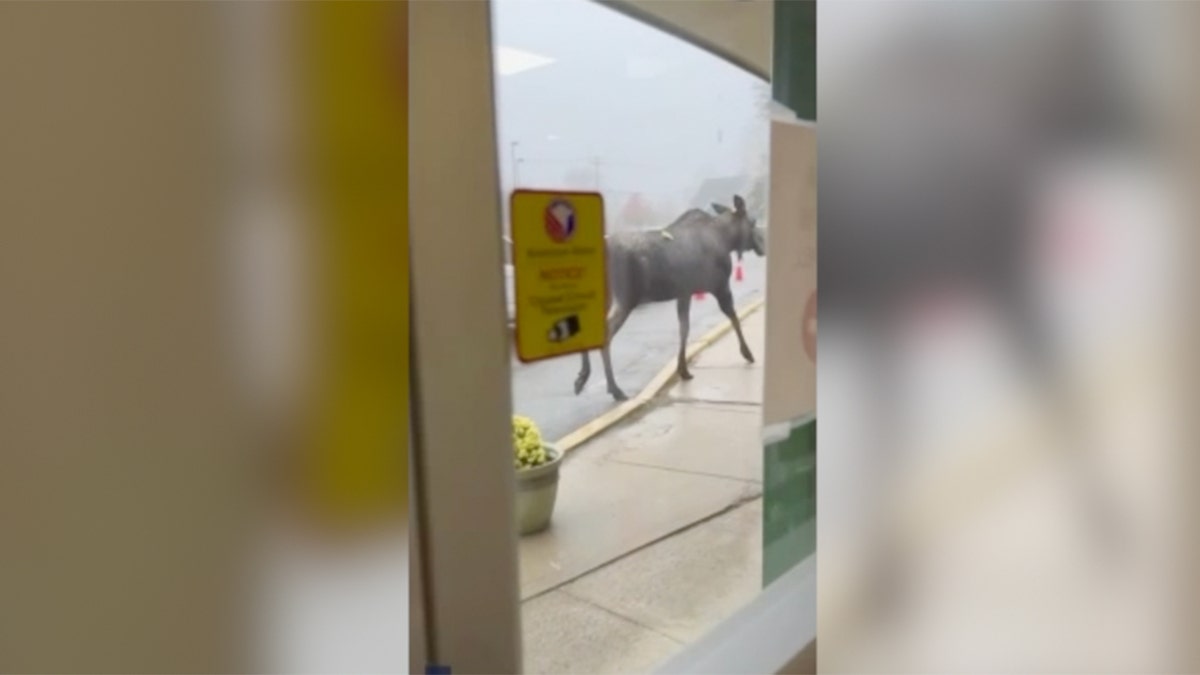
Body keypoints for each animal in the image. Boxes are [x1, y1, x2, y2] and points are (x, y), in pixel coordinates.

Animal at [568, 194, 758, 398]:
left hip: (605, 298)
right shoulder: (720, 286)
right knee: (606, 335)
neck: (726, 238)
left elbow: (684, 328)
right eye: (753, 222)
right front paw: (747, 353)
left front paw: (683, 370)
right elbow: (734, 318)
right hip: (625, 299)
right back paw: (614, 388)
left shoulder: (684, 293)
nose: (760, 243)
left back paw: (582, 377)